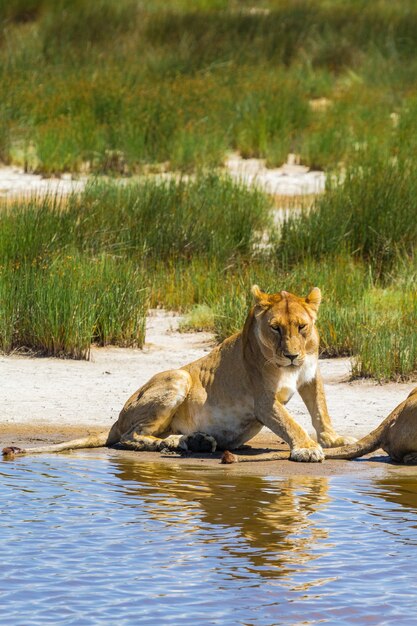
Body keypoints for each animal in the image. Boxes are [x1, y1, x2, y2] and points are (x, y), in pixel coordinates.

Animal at [2, 286, 354, 460]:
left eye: (302, 327)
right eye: (275, 328)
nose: (291, 355)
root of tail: (116, 420)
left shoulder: (311, 374)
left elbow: (320, 410)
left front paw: (334, 439)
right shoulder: (264, 400)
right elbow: (291, 422)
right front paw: (307, 448)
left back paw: (197, 441)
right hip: (179, 378)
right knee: (131, 437)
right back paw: (176, 443)